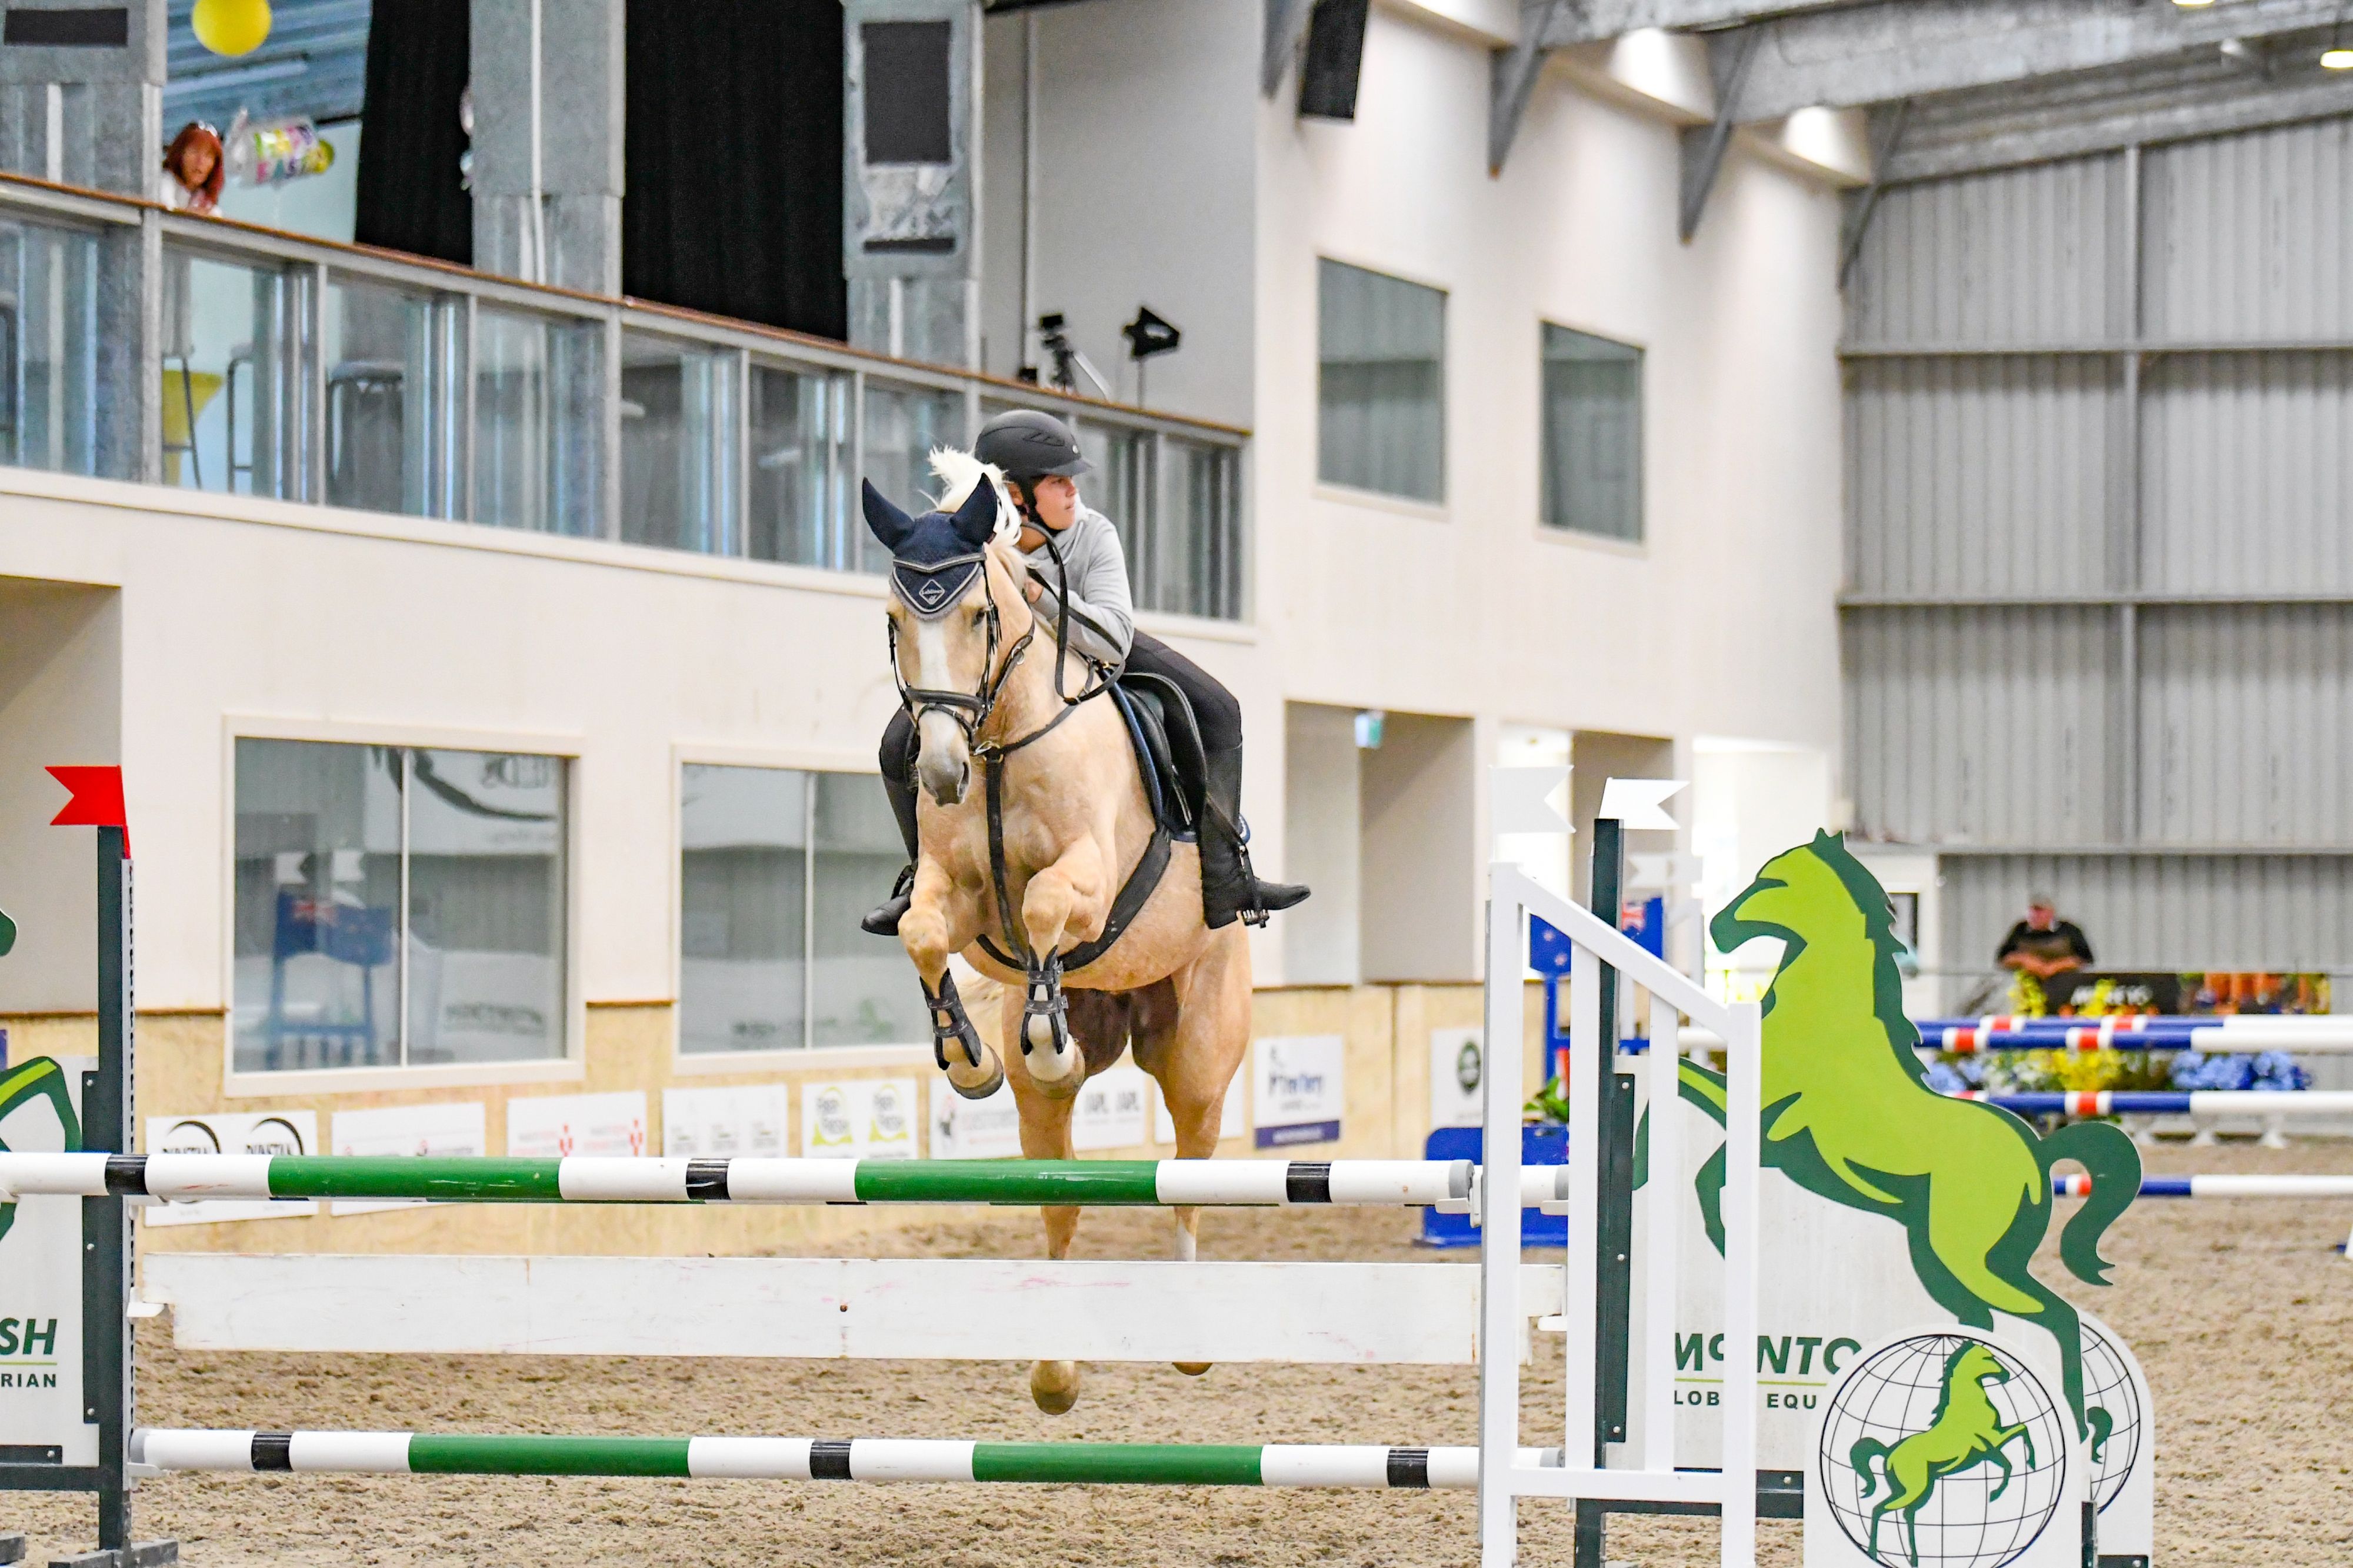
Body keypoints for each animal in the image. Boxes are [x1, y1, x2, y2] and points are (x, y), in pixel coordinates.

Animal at [861, 454, 1254, 1415]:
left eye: (979, 614)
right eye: (894, 619)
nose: (941, 771)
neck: (1002, 745)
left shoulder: (1090, 874)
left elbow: (1044, 904)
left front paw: (1046, 1037)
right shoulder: (956, 898)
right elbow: (922, 931)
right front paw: (969, 1058)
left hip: (1199, 1048)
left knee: (1186, 1176)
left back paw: (1191, 1346)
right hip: (1068, 1094)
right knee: (1060, 1194)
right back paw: (1053, 1371)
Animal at [1669, 831, 2139, 1440]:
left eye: (1775, 881)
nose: (1721, 929)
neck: (1825, 1024)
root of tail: (2036, 1154)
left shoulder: (1759, 1122)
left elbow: (1685, 1092)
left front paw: (1719, 1232)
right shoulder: (1772, 1148)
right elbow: (1708, 1165)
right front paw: (1720, 1235)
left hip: (1963, 1256)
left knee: (2056, 1317)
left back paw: (2077, 1429)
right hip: (1957, 1259)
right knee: (1986, 1322)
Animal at [1851, 1341, 2038, 1568]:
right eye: (1987, 1358)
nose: (2006, 1375)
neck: (1968, 1408)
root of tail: (1889, 1453)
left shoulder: (1990, 1446)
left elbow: (2021, 1433)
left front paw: (2031, 1463)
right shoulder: (1989, 1444)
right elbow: (2012, 1452)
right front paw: (1996, 1493)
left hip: (1918, 1489)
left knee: (1906, 1513)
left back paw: (1913, 1559)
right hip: (1915, 1489)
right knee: (1880, 1509)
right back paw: (1874, 1553)